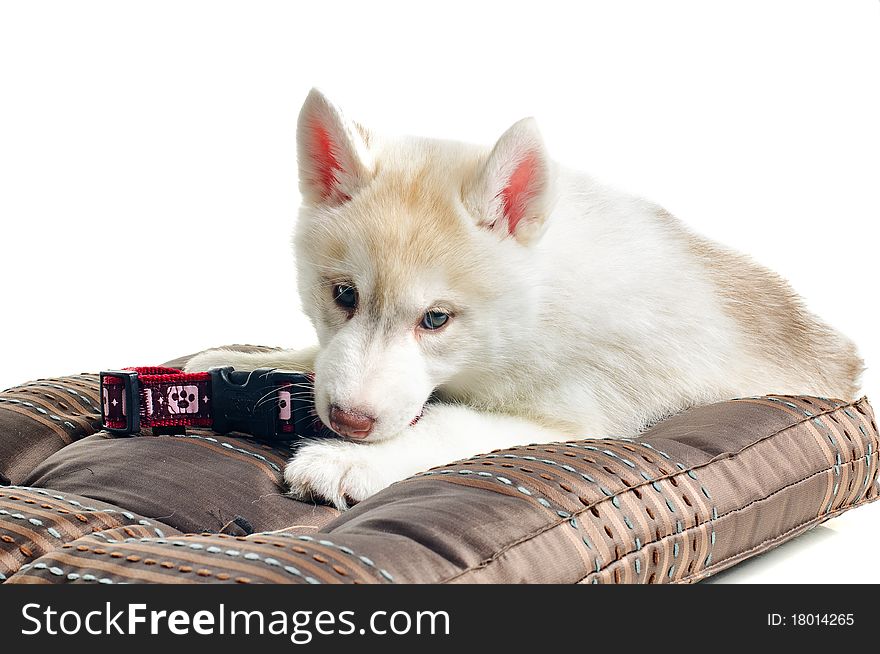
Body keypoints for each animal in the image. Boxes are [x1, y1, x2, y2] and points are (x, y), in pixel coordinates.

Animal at [184, 87, 860, 510]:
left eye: (436, 319)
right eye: (343, 295)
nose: (349, 421)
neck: (532, 305)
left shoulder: (567, 416)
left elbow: (453, 422)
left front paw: (345, 461)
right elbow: (312, 357)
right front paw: (238, 361)